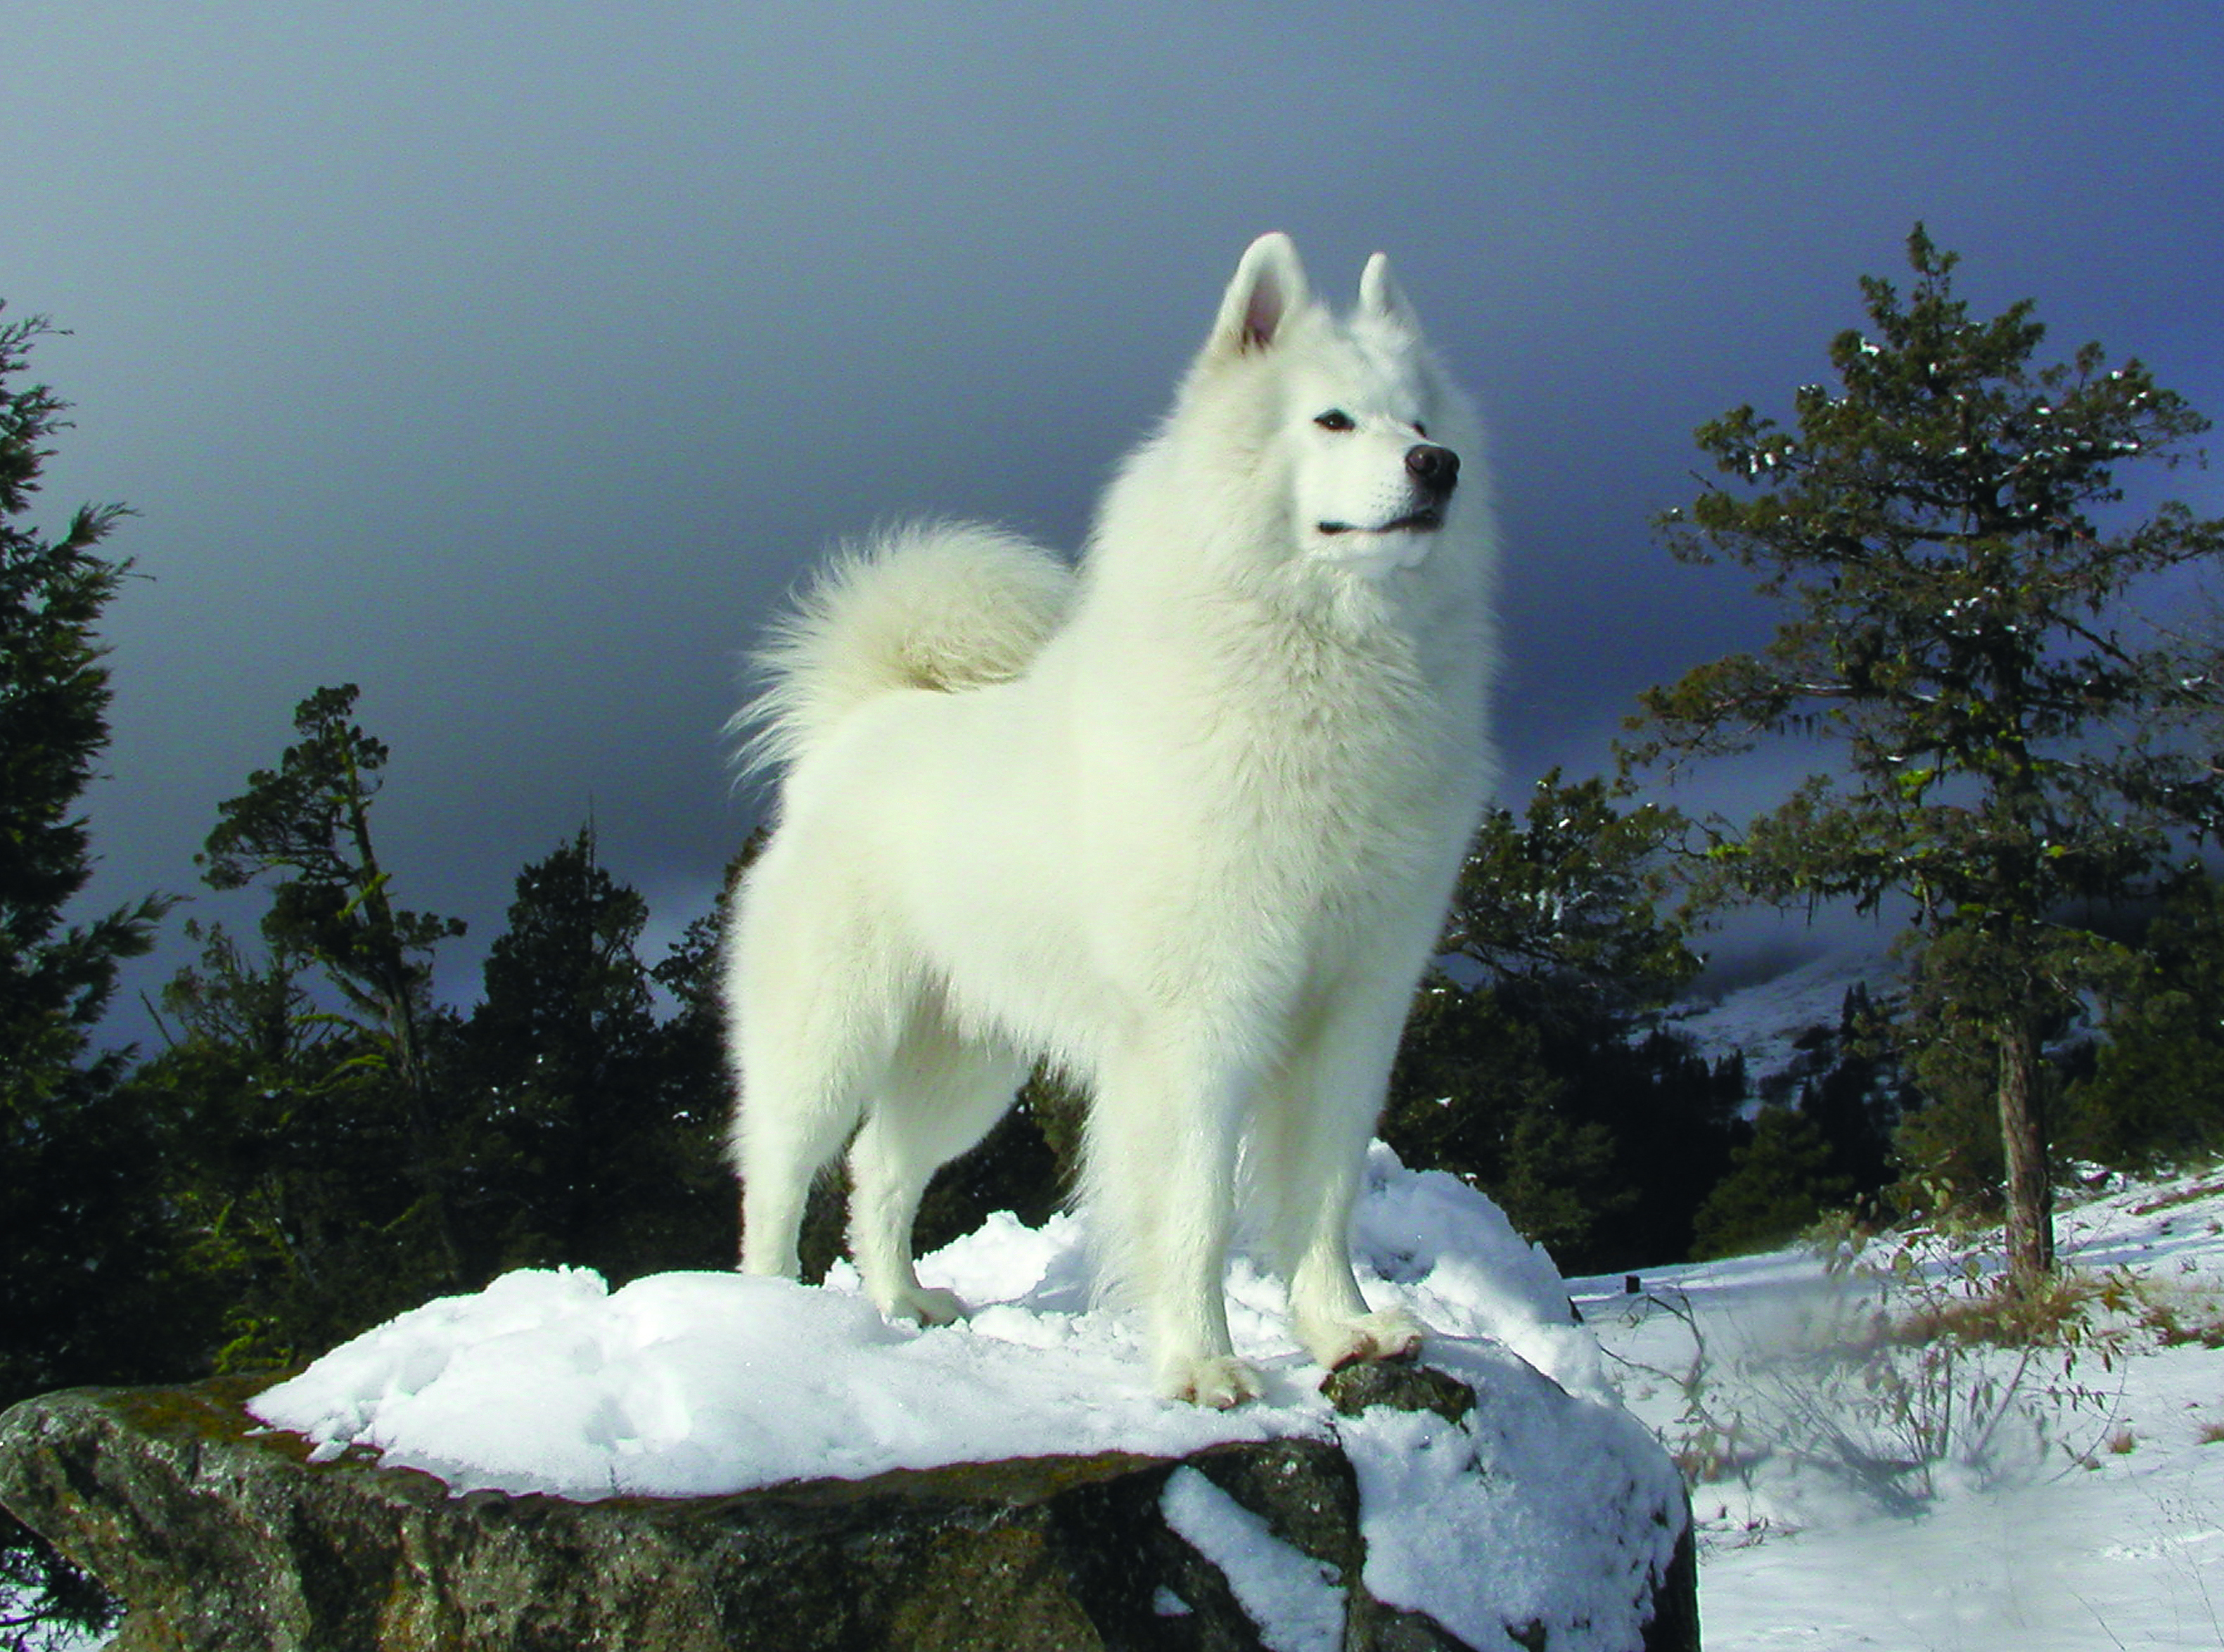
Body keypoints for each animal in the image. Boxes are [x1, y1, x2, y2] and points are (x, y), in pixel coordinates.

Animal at [720, 232, 1503, 1405]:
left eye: (1418, 421)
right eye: (1332, 420)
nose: (1436, 465)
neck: (1325, 661)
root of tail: (859, 720)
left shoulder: (1354, 1007)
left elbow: (1321, 1194)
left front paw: (1345, 1331)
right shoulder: (1200, 1020)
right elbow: (1194, 1209)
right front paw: (1201, 1365)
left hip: (965, 1066)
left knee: (880, 1169)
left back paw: (903, 1302)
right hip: (832, 1034)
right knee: (779, 1170)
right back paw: (772, 1316)